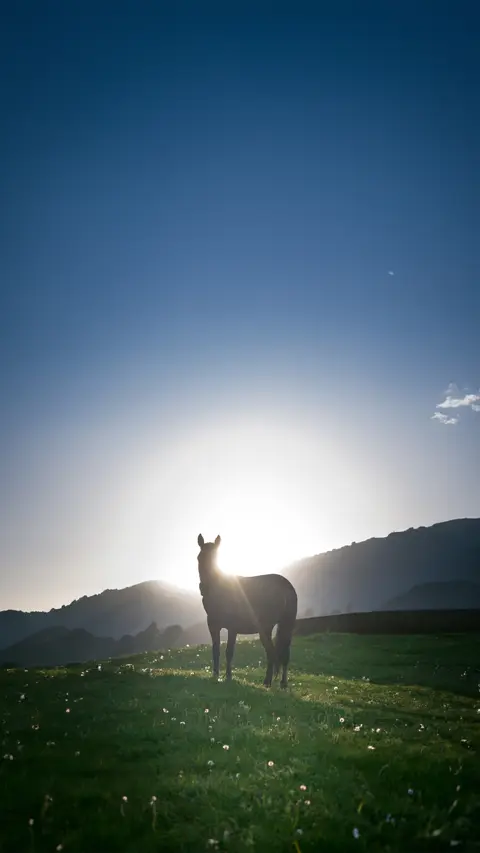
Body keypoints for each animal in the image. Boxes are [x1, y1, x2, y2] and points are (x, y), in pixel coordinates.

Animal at [197, 533, 298, 688]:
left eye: (215, 559)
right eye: (199, 558)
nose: (204, 588)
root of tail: (286, 586)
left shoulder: (231, 627)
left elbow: (229, 651)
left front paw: (228, 676)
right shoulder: (213, 625)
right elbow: (216, 650)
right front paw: (216, 675)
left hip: (270, 627)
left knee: (274, 653)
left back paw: (269, 682)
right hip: (282, 626)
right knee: (281, 653)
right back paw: (280, 683)